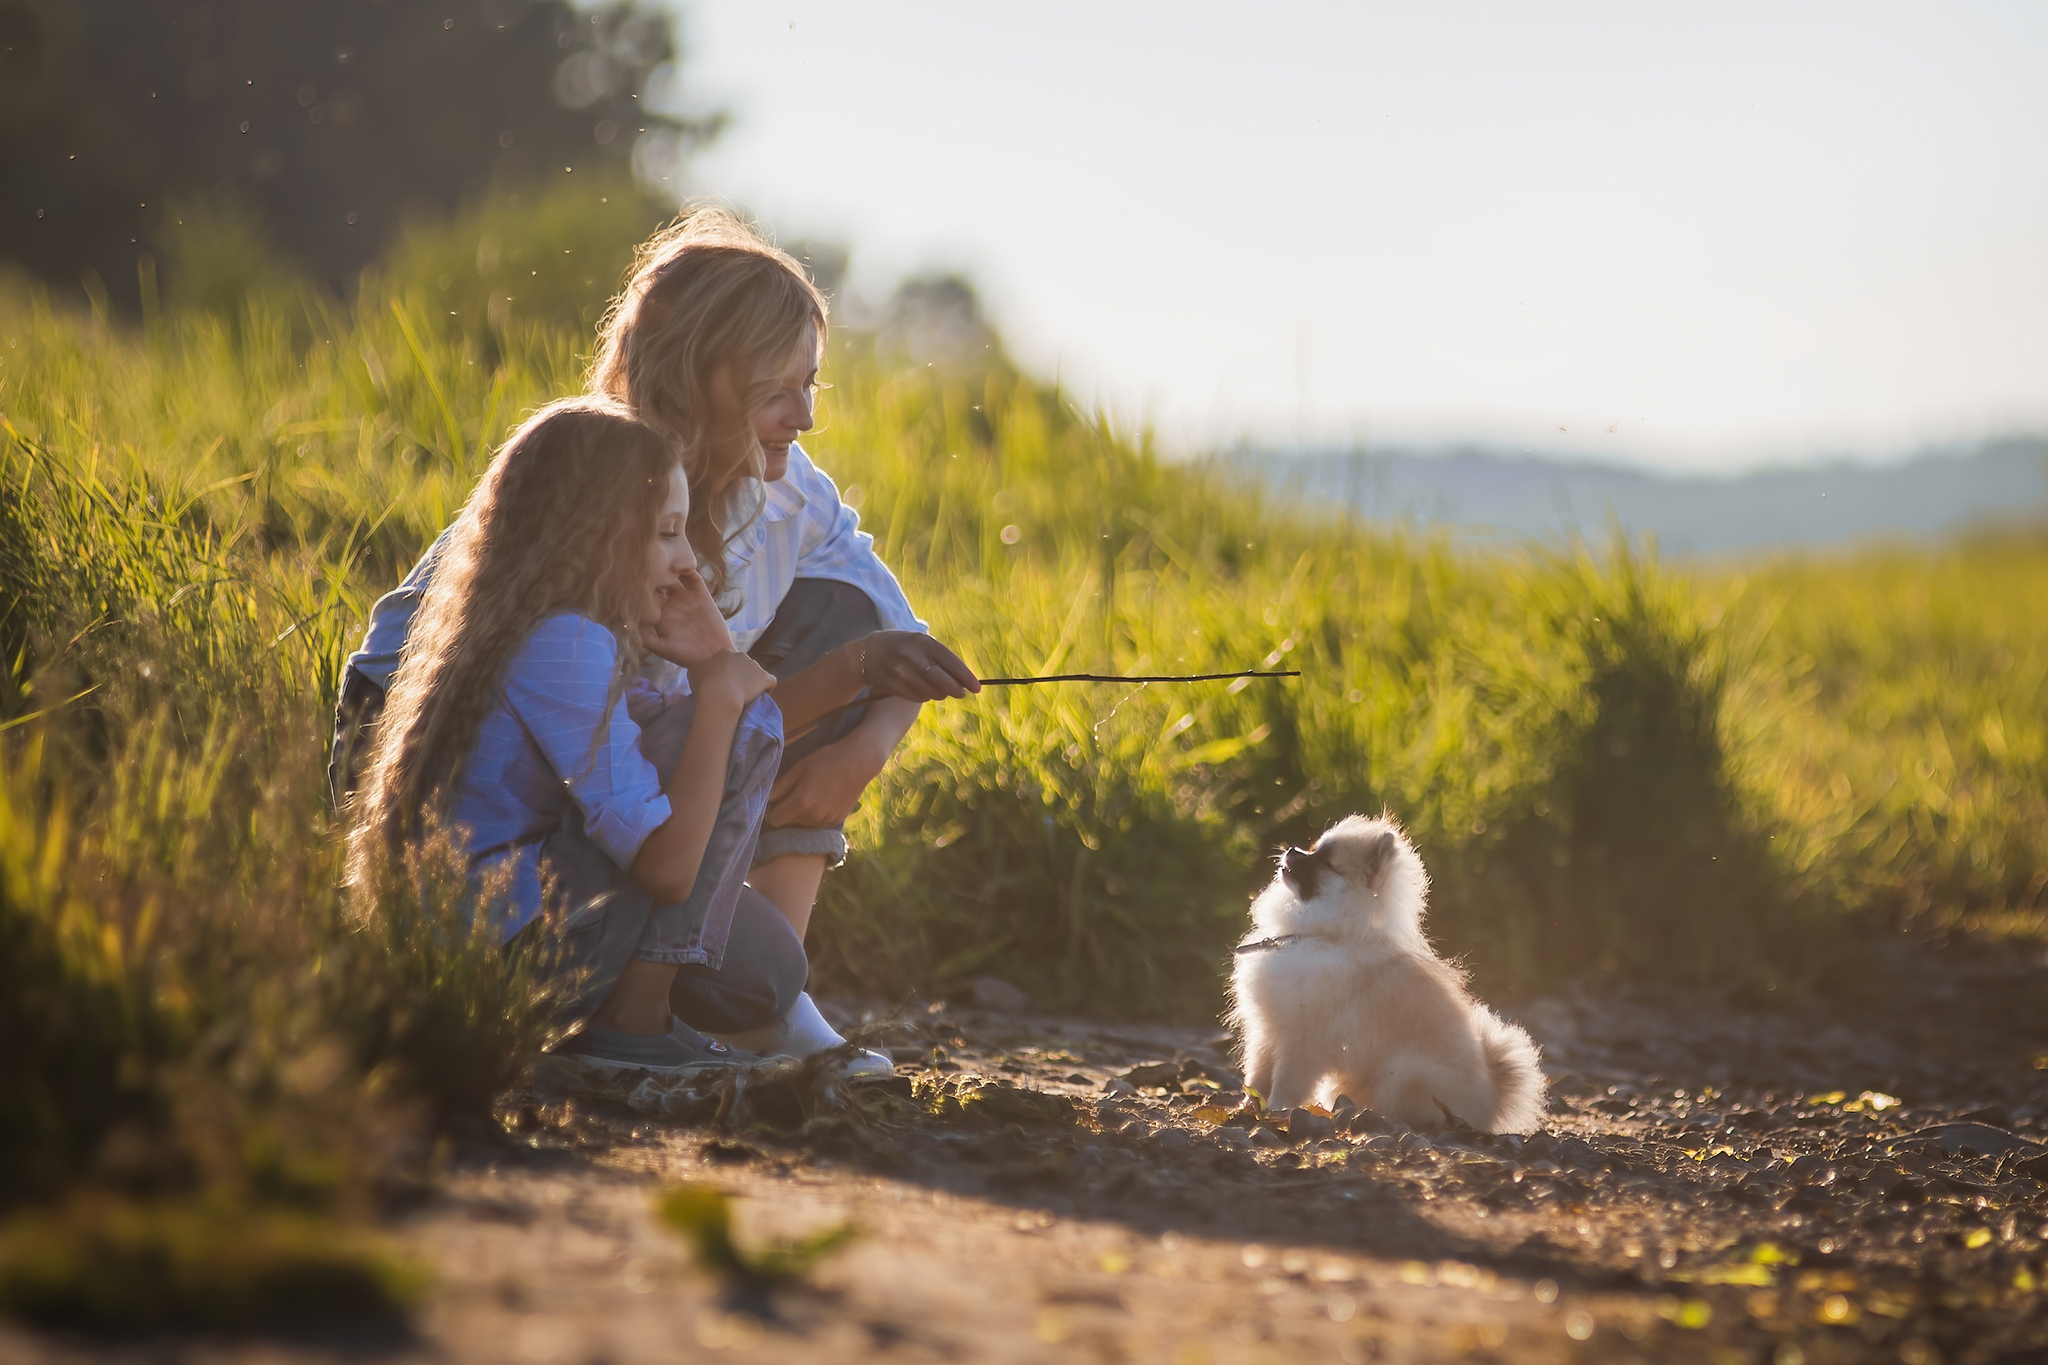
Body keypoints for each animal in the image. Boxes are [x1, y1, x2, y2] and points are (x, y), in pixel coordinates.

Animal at [1220, 810, 1540, 1129]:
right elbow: (1257, 1078)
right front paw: (1247, 1108)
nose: (1291, 849)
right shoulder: (1266, 1032)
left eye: (1327, 862)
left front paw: (1275, 1111)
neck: (1315, 935)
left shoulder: (1303, 1040)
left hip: (1407, 1072)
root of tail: (1494, 1097)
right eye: (1314, 847)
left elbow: (1286, 1082)